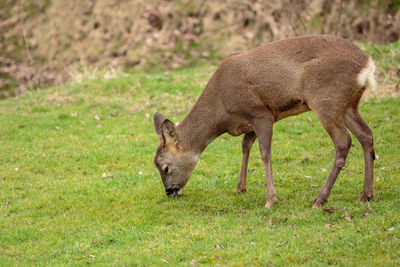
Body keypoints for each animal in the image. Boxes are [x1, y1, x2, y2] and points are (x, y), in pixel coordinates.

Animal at [152, 34, 376, 209]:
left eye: (164, 167)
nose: (170, 191)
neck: (222, 110)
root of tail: (368, 64)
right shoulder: (249, 122)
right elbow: (245, 147)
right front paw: (240, 187)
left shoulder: (261, 113)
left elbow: (265, 153)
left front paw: (270, 200)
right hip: (348, 105)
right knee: (366, 135)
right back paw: (366, 194)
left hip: (325, 100)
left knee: (343, 142)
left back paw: (319, 199)